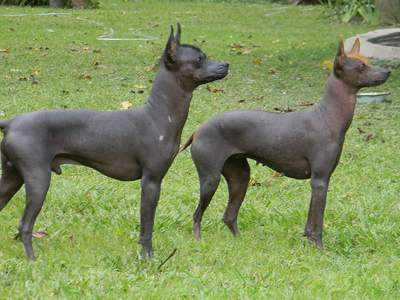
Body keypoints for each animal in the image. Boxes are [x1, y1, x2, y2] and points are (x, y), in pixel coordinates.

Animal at [0, 24, 230, 260]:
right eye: (199, 58)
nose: (225, 65)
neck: (158, 114)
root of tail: (11, 122)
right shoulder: (151, 182)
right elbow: (147, 226)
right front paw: (147, 257)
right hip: (38, 180)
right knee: (24, 225)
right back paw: (32, 260)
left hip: (12, 178)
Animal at [181, 37, 390, 248]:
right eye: (361, 67)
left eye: (368, 62)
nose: (387, 72)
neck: (327, 116)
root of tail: (198, 130)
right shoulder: (320, 180)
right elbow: (317, 223)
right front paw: (319, 248)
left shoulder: (318, 183)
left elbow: (309, 223)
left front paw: (309, 241)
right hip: (210, 179)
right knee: (197, 215)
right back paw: (198, 241)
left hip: (240, 178)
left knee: (228, 216)